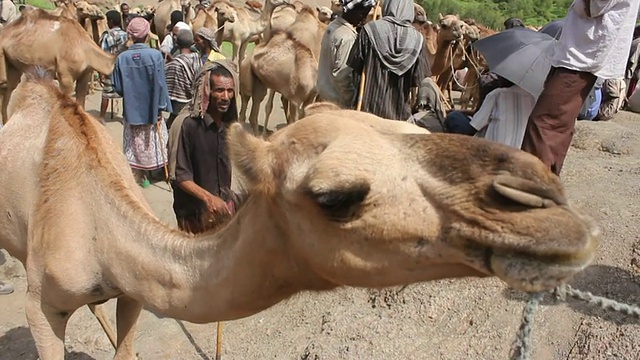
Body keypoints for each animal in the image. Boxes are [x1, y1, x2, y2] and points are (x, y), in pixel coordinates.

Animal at [0, 69, 600, 358]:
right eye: (335, 196)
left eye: (412, 128)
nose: (549, 205)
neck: (100, 231)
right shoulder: (42, 306)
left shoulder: (131, 292)